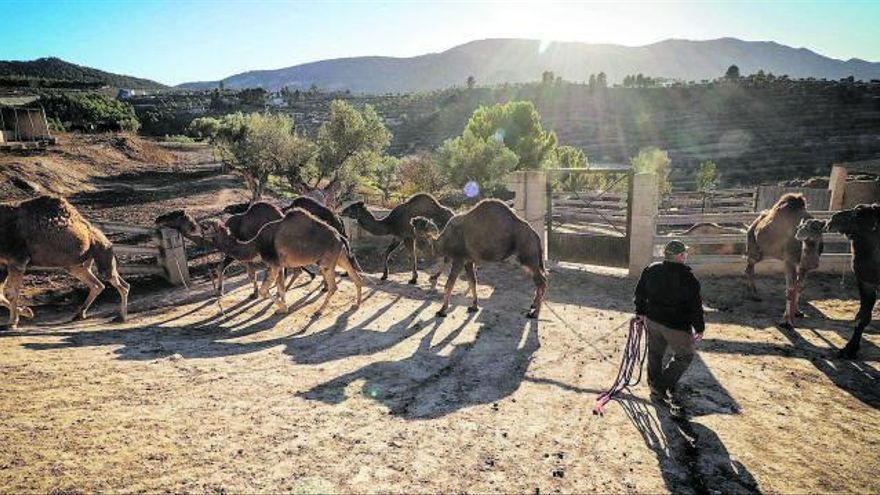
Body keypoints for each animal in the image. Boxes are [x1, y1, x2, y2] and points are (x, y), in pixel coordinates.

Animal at [0, 196, 130, 332]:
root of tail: (106, 239)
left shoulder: (18, 260)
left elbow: (11, 293)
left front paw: (12, 323)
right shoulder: (3, 263)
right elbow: (1, 295)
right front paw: (27, 312)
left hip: (102, 252)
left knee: (120, 284)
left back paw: (121, 317)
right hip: (75, 265)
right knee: (97, 285)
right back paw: (79, 314)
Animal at [199, 208, 360, 318]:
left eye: (205, 227)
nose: (199, 225)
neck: (257, 244)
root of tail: (339, 236)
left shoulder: (274, 264)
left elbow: (264, 290)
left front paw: (283, 308)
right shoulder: (280, 265)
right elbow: (281, 287)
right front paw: (283, 306)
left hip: (327, 261)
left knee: (334, 286)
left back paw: (318, 311)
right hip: (340, 256)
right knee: (356, 278)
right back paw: (356, 305)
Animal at [410, 200, 544, 320]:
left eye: (420, 222)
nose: (412, 219)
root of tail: (535, 235)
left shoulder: (459, 258)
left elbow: (449, 284)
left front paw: (442, 311)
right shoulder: (469, 260)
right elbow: (472, 282)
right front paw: (474, 306)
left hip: (528, 255)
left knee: (542, 281)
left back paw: (534, 314)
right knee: (539, 281)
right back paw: (533, 306)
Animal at [744, 194, 820, 330]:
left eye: (819, 237)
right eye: (802, 234)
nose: (814, 263)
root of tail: (752, 225)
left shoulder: (803, 267)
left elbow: (799, 287)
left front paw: (797, 312)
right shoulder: (789, 261)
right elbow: (790, 289)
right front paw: (786, 321)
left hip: (764, 253)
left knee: (749, 267)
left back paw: (752, 291)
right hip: (754, 249)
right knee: (749, 266)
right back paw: (754, 294)